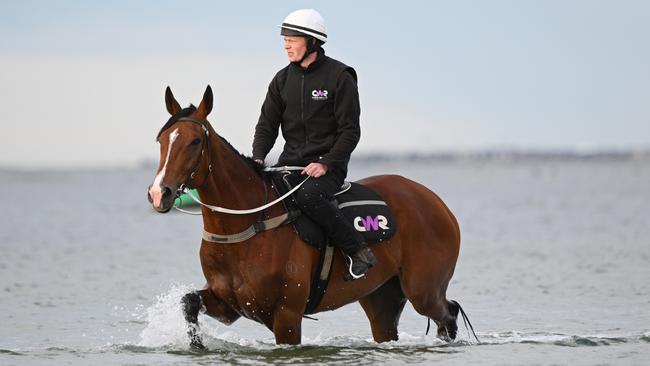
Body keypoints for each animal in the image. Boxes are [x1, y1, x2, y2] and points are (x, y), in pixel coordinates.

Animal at [148, 85, 466, 346]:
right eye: (161, 139)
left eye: (195, 142)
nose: (159, 193)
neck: (247, 226)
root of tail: (435, 201)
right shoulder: (229, 304)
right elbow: (188, 302)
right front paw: (195, 344)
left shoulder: (287, 316)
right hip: (381, 299)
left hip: (423, 290)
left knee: (448, 314)